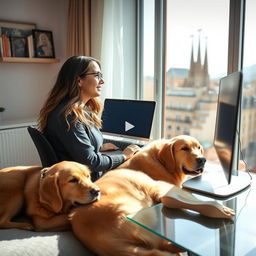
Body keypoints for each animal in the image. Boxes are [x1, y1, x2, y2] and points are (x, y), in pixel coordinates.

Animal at [70, 135, 206, 255]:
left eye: (198, 147)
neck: (161, 162)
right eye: (184, 148)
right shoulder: (160, 188)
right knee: (162, 245)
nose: (202, 160)